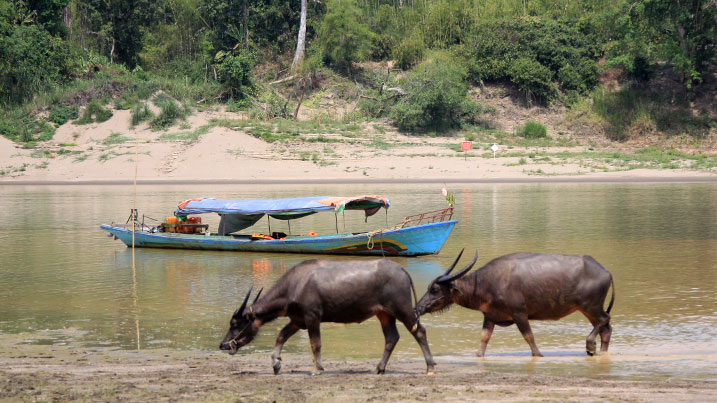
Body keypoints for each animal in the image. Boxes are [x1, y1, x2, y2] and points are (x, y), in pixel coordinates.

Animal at [218, 258, 436, 376]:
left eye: (234, 322)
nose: (223, 344)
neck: (295, 285)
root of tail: (400, 269)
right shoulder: (297, 320)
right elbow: (281, 336)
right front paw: (276, 363)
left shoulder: (312, 317)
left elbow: (316, 344)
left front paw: (318, 368)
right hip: (384, 314)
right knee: (391, 337)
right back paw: (379, 368)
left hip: (402, 308)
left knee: (420, 331)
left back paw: (430, 366)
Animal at [414, 251, 616, 358]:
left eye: (434, 289)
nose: (417, 307)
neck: (486, 283)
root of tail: (606, 271)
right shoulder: (489, 316)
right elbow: (484, 338)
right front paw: (479, 355)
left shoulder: (519, 313)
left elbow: (529, 337)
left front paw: (538, 355)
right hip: (587, 309)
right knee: (606, 329)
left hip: (591, 306)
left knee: (604, 319)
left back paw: (590, 346)